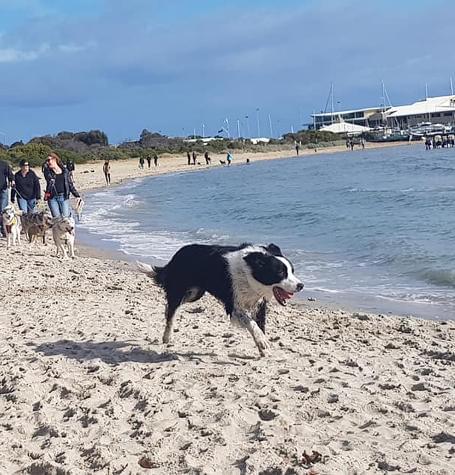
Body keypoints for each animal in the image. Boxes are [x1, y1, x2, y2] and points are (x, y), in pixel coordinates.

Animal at [137, 245, 304, 356]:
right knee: (172, 311)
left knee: (172, 307)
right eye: (280, 273)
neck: (251, 272)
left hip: (195, 293)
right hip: (180, 288)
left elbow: (260, 325)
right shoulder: (234, 306)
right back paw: (166, 336)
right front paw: (262, 342)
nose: (301, 285)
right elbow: (252, 324)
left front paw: (262, 349)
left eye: (292, 271)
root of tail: (177, 254)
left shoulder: (259, 304)